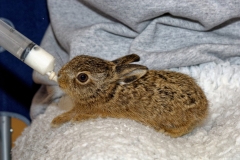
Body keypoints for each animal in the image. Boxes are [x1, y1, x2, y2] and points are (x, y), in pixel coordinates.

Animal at [51, 53, 207, 138]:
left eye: (82, 77)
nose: (59, 78)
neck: (105, 91)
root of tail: (204, 108)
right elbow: (69, 112)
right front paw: (56, 121)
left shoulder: (98, 111)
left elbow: (81, 115)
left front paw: (75, 119)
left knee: (185, 128)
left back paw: (166, 132)